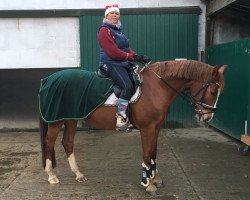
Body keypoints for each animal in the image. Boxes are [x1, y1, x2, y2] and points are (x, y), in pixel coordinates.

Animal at [39, 59, 227, 195]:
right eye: (212, 92)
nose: (208, 116)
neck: (156, 88)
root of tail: (49, 79)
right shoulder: (147, 128)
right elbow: (146, 154)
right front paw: (148, 184)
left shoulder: (156, 127)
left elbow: (153, 152)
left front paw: (155, 178)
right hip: (56, 121)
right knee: (49, 143)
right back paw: (51, 176)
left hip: (70, 118)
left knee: (67, 143)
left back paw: (78, 175)